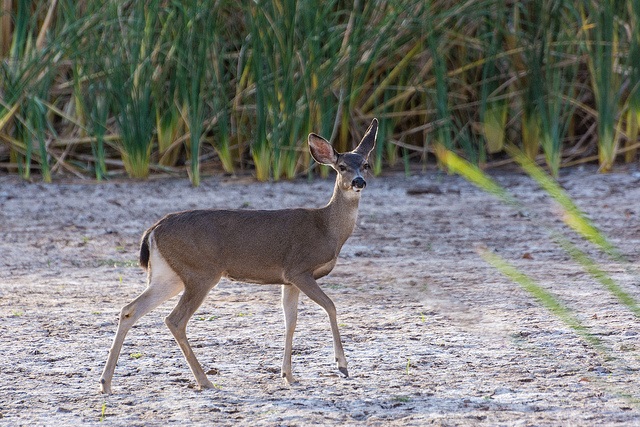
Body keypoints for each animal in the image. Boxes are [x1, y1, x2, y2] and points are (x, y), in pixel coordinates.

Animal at [99, 118, 378, 394]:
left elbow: (290, 320)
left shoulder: (288, 280)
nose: (359, 182)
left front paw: (288, 376)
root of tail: (153, 229)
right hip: (200, 271)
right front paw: (342, 366)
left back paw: (106, 383)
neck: (327, 229)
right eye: (341, 167)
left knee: (130, 309)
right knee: (174, 319)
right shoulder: (299, 268)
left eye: (365, 164)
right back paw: (204, 380)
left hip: (169, 274)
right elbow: (330, 306)